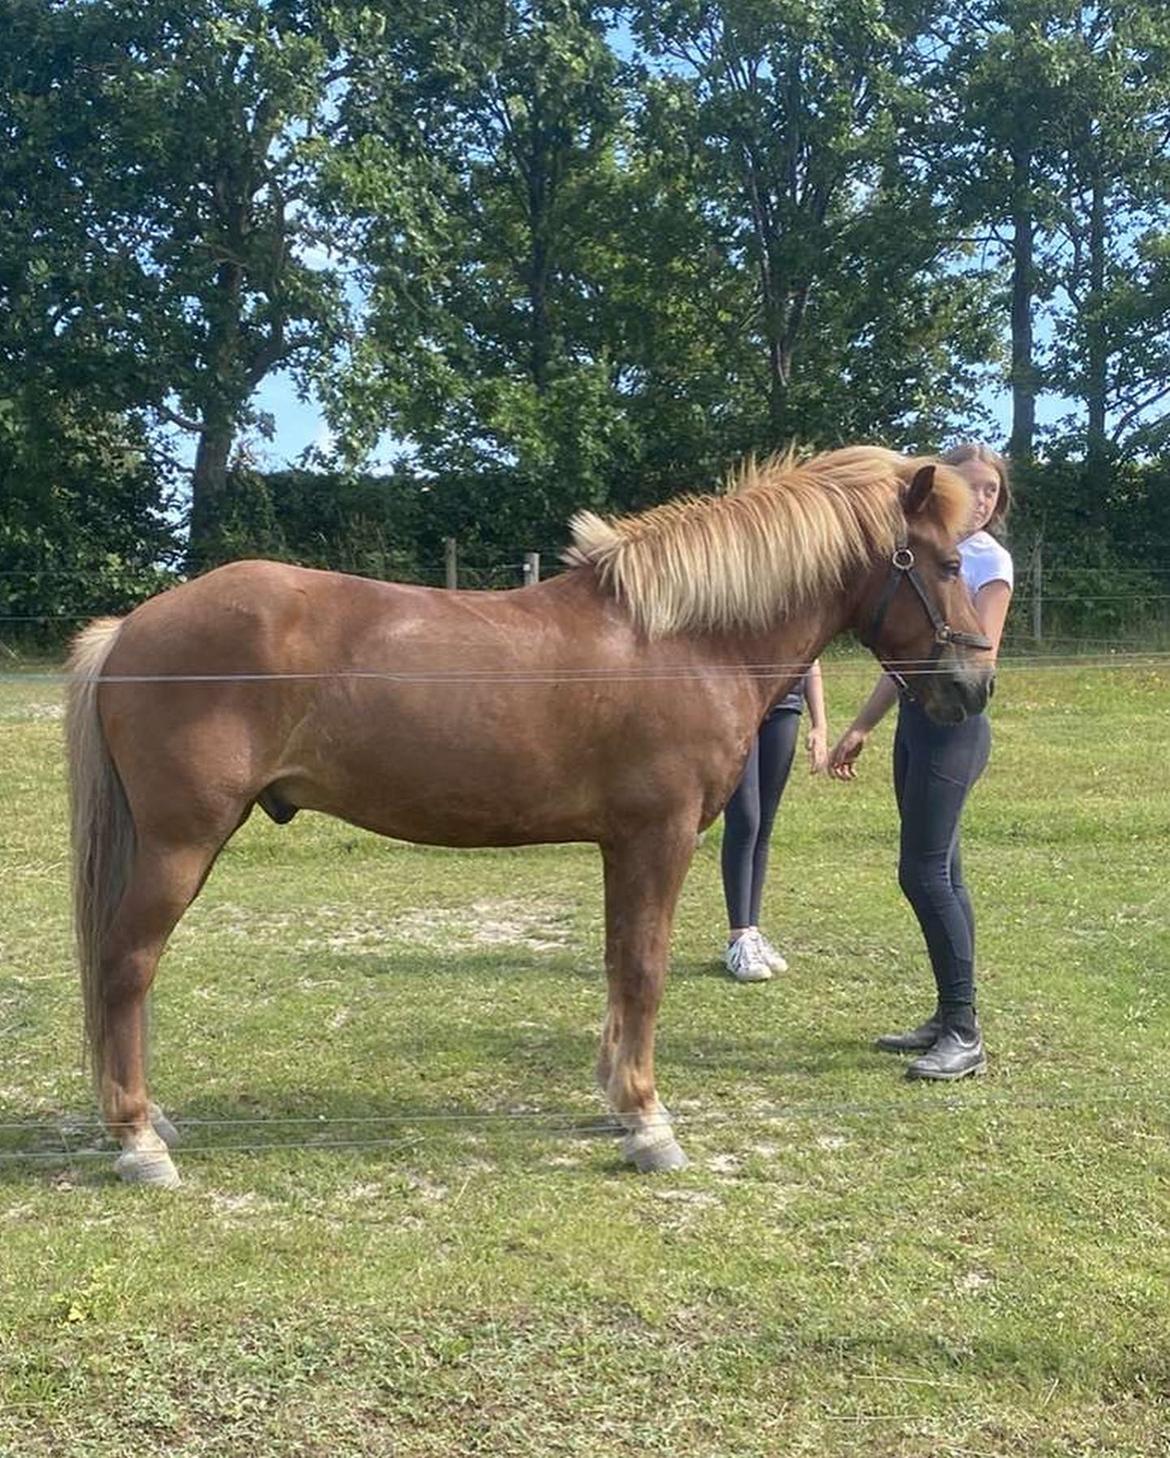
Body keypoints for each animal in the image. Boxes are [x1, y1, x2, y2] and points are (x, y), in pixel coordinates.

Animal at [66, 446, 986, 1183]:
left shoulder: (624, 845)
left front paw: (618, 1103)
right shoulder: (658, 839)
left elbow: (619, 965)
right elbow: (645, 971)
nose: (973, 688)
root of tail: (131, 629)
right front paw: (649, 1123)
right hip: (180, 844)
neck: (686, 642)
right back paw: (140, 1142)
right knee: (126, 966)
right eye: (945, 564)